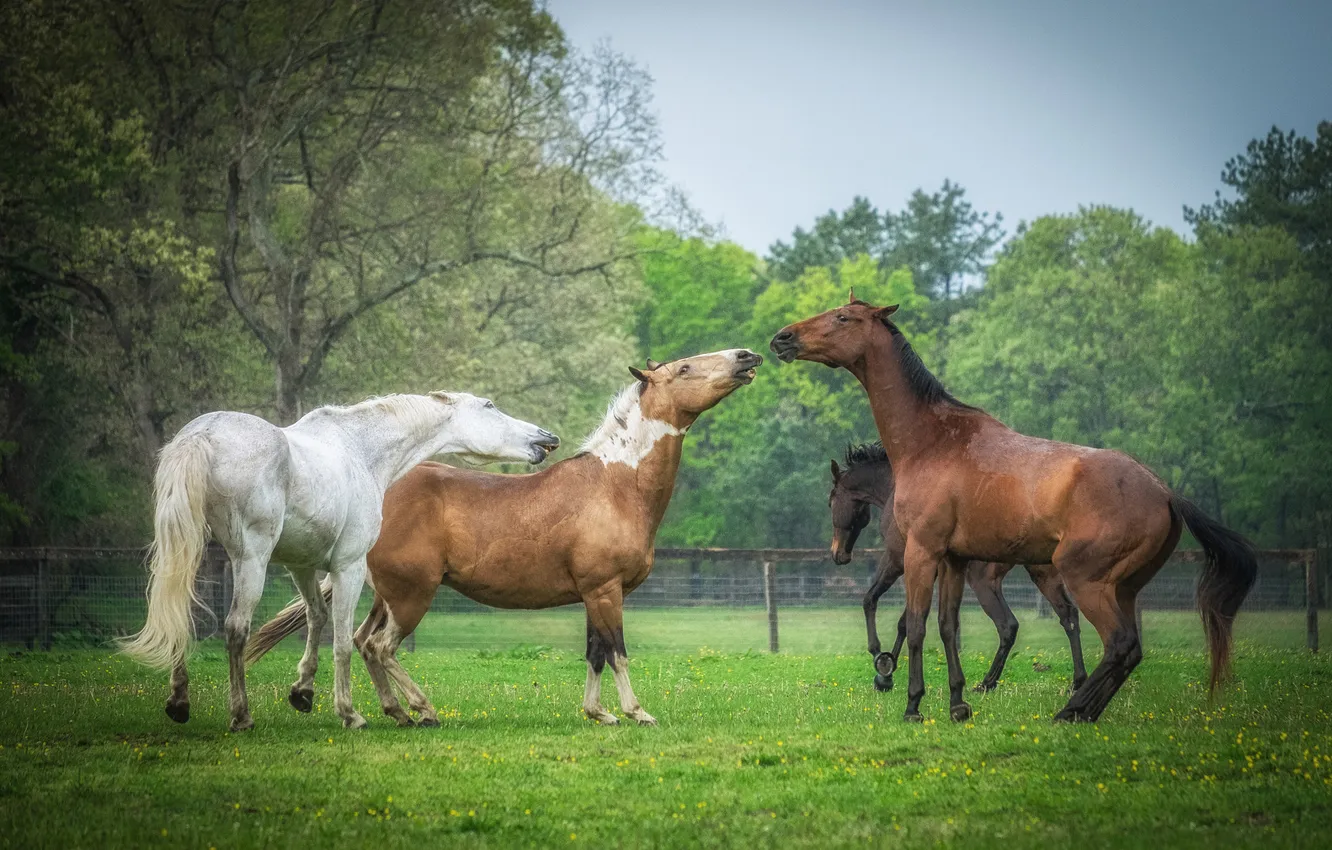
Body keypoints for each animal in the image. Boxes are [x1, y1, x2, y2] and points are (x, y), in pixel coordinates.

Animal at [119, 392, 560, 731]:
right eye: (490, 406)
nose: (548, 437)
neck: (361, 450)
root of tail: (201, 436)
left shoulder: (302, 564)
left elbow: (315, 618)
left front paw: (302, 691)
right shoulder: (348, 566)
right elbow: (345, 641)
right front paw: (350, 713)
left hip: (190, 550)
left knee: (182, 616)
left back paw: (179, 702)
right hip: (251, 558)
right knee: (236, 628)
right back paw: (241, 716)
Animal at [245, 348, 764, 727]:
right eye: (685, 367)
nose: (746, 356)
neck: (615, 485)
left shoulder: (593, 593)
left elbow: (595, 653)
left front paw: (598, 713)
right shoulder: (605, 589)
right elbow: (617, 652)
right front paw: (637, 713)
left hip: (388, 595)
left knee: (362, 641)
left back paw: (397, 710)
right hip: (412, 595)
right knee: (380, 647)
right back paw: (421, 710)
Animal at [829, 441, 1086, 694]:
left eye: (831, 501)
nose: (838, 554)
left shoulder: (895, 560)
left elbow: (870, 601)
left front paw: (882, 665)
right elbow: (905, 621)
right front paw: (887, 672)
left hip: (983, 581)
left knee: (1008, 625)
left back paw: (986, 683)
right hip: (1042, 575)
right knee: (1068, 616)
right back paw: (1076, 682)